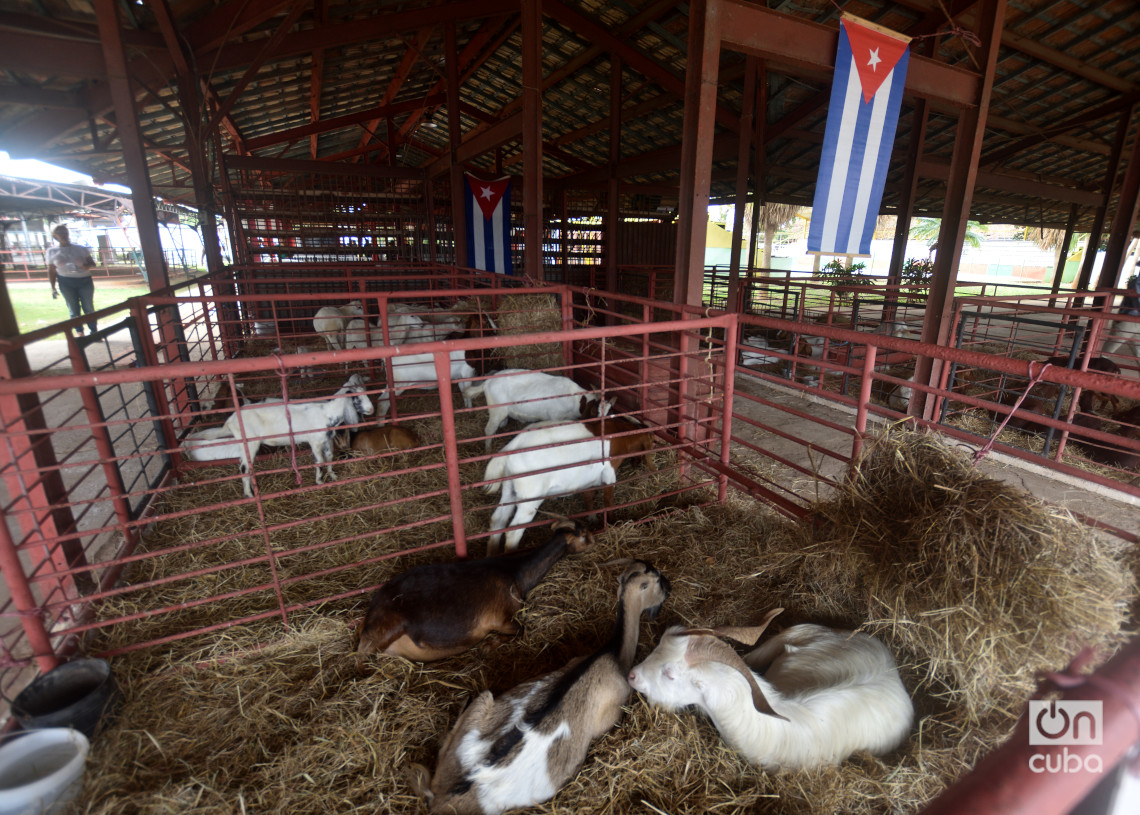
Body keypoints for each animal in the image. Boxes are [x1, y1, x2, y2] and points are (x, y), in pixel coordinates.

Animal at [191, 373, 373, 496]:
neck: (327, 412)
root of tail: (230, 420)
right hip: (249, 443)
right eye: (356, 398)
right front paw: (319, 481)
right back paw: (249, 494)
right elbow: (319, 461)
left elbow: (329, 458)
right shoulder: (314, 441)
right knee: (244, 467)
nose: (371, 410)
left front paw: (333, 476)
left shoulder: (326, 440)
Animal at [357, 519, 597, 661]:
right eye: (585, 534)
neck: (516, 573)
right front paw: (489, 645)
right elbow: (522, 629)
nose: (596, 537)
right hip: (386, 628)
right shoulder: (500, 619)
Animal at [414, 560, 670, 815]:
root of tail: (443, 795)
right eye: (657, 579)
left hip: (480, 704)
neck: (612, 653)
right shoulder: (613, 713)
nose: (668, 588)